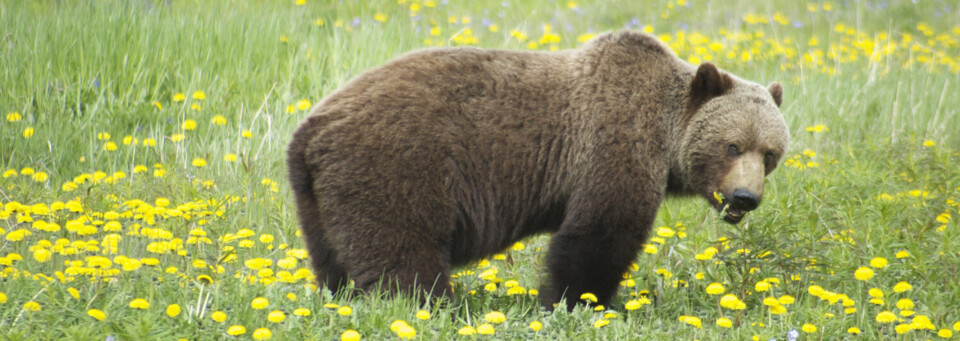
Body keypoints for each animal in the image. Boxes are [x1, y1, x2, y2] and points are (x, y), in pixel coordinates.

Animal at [288, 30, 792, 310]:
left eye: (770, 153)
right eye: (732, 145)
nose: (745, 198)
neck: (664, 139)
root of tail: (309, 130)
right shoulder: (612, 143)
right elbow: (599, 235)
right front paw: (580, 302)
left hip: (321, 196)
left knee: (332, 257)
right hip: (397, 167)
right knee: (403, 254)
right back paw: (430, 307)